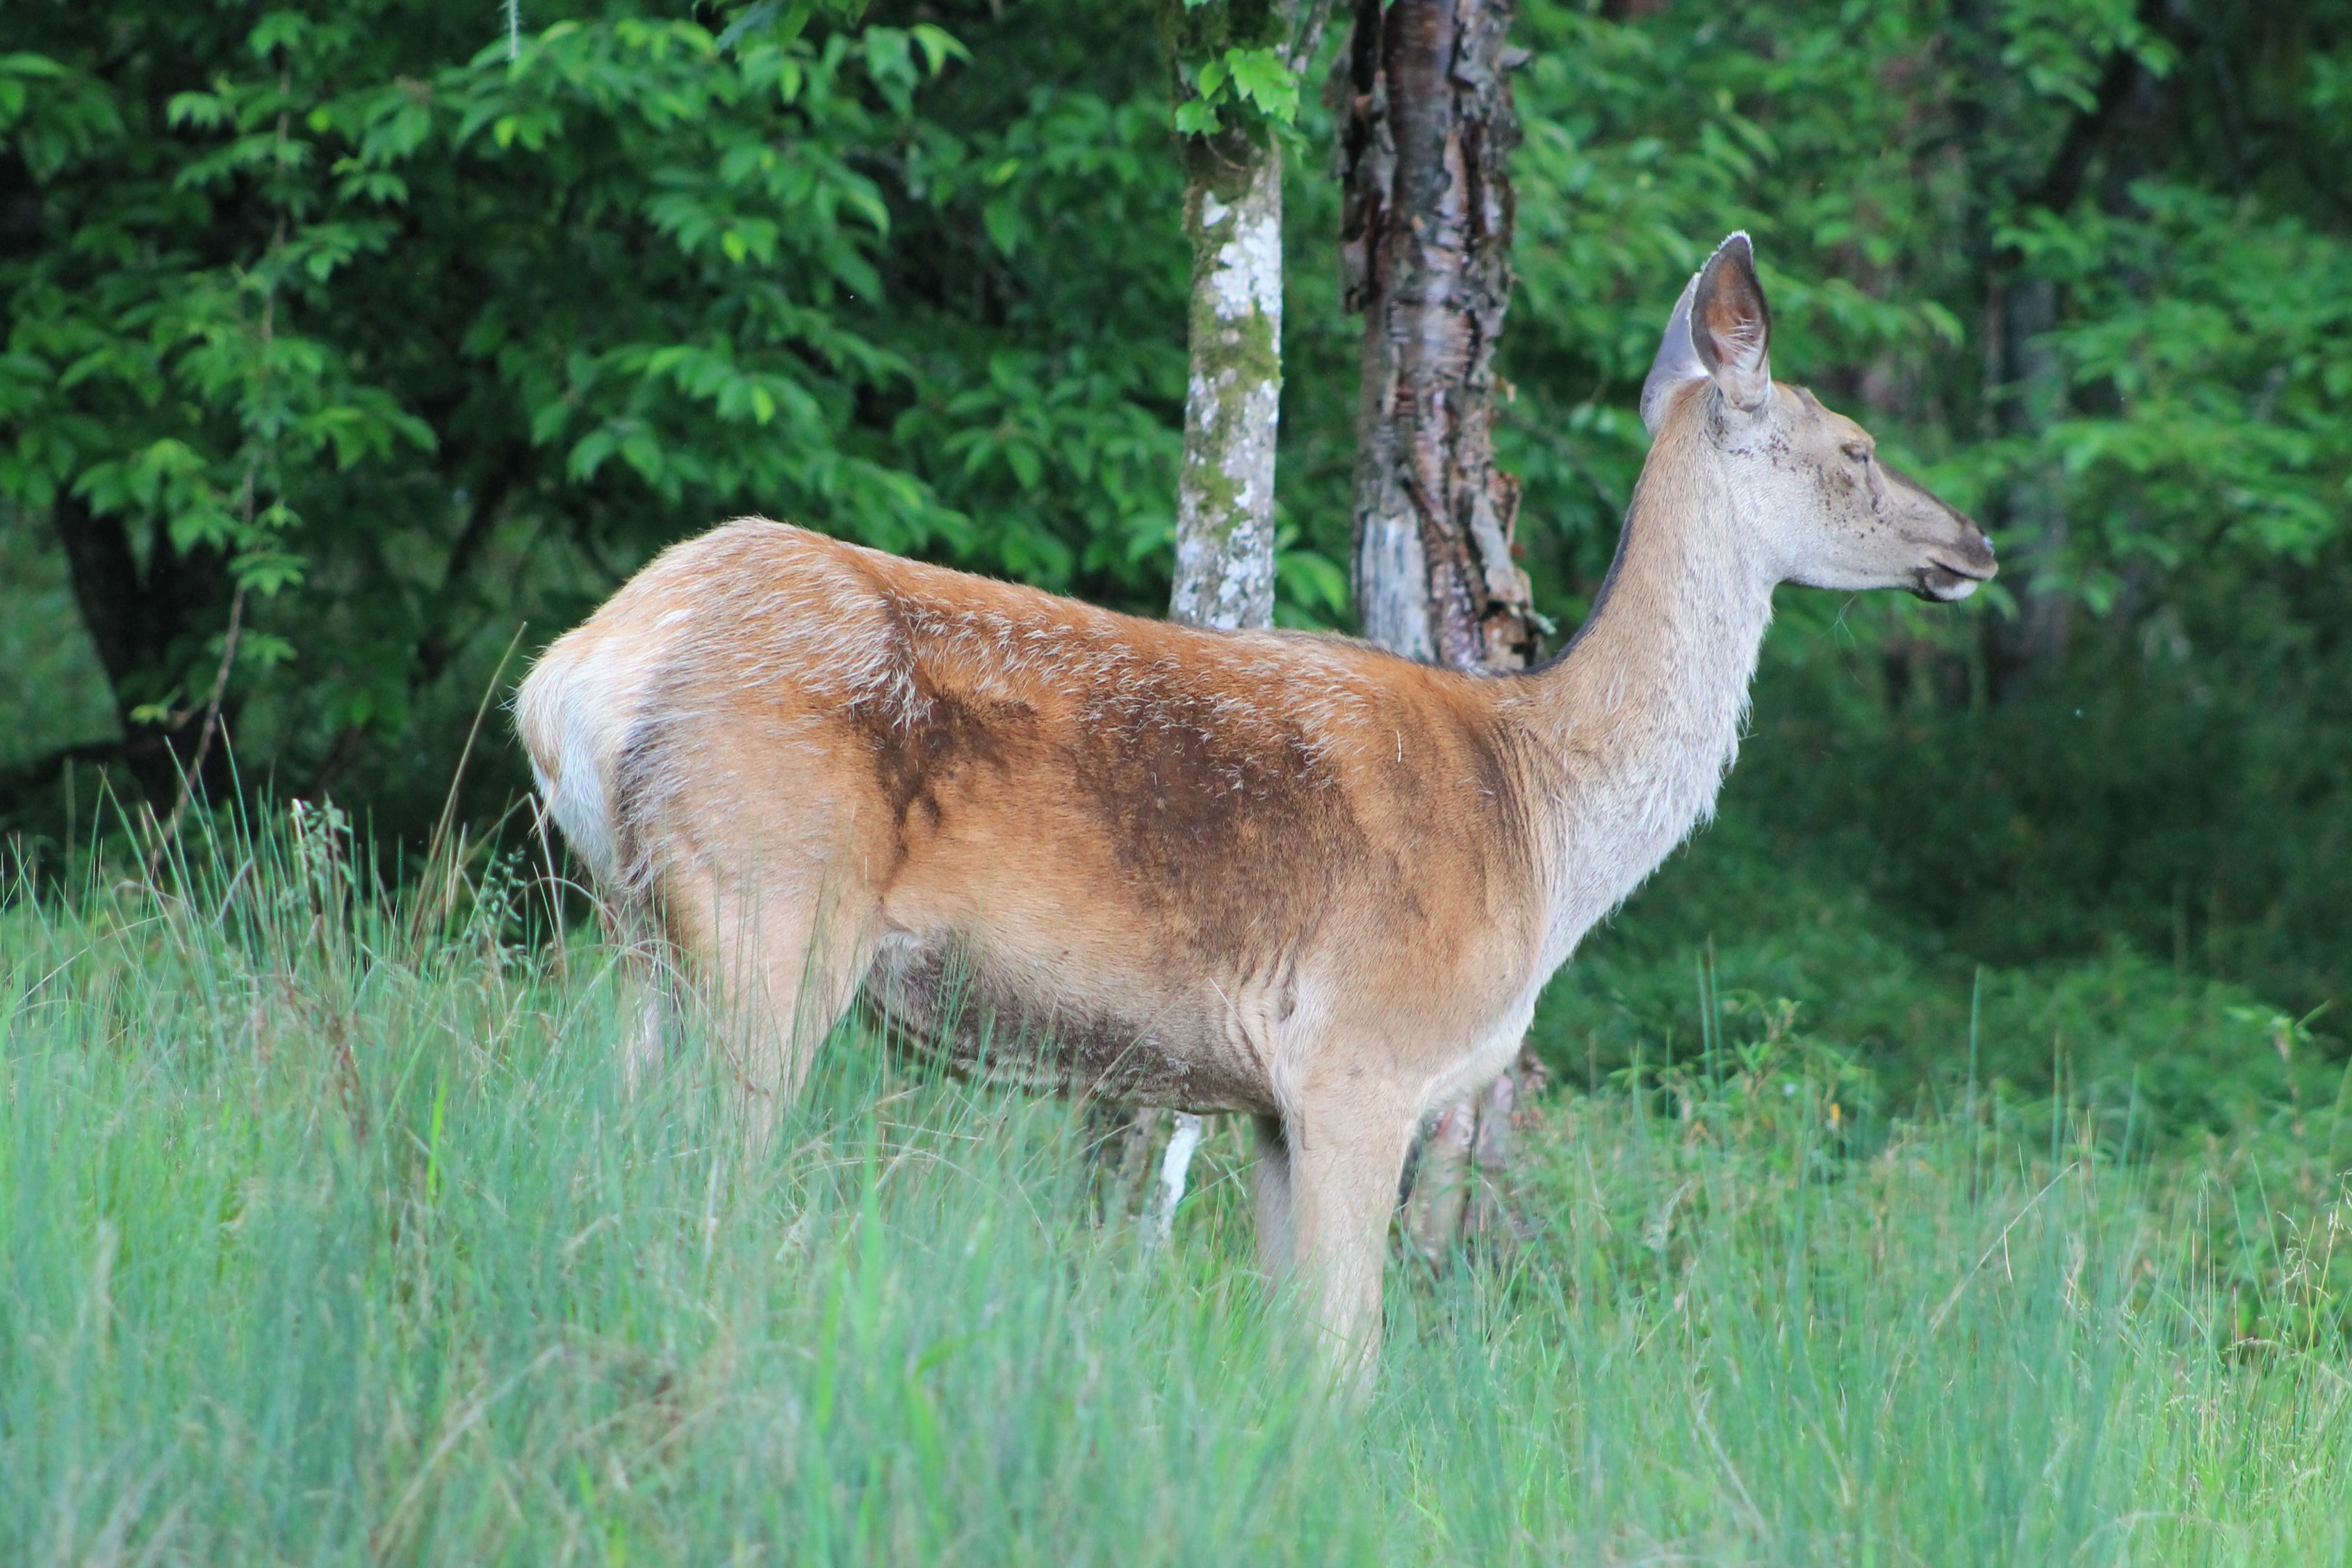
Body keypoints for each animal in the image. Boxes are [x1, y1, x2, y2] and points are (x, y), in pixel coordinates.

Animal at [516, 233, 1994, 1359]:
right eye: (1858, 448)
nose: (1973, 540)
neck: (1545, 822)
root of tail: (581, 672)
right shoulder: (1363, 1056)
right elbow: (1345, 1364)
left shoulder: (1272, 1105)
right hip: (771, 904)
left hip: (644, 931)